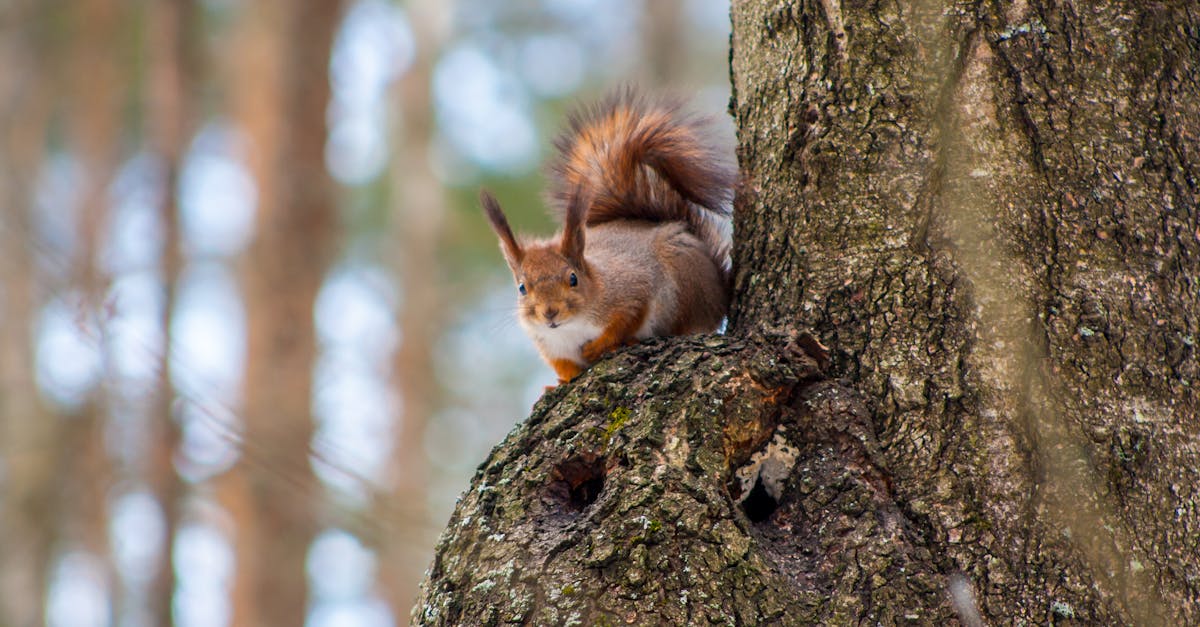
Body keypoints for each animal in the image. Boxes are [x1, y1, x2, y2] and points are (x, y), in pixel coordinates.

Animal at [481, 89, 735, 385]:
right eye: (522, 288)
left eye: (573, 278)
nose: (549, 313)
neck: (571, 327)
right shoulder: (547, 344)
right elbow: (562, 364)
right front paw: (560, 381)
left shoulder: (631, 290)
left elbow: (628, 318)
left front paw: (601, 345)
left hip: (686, 280)